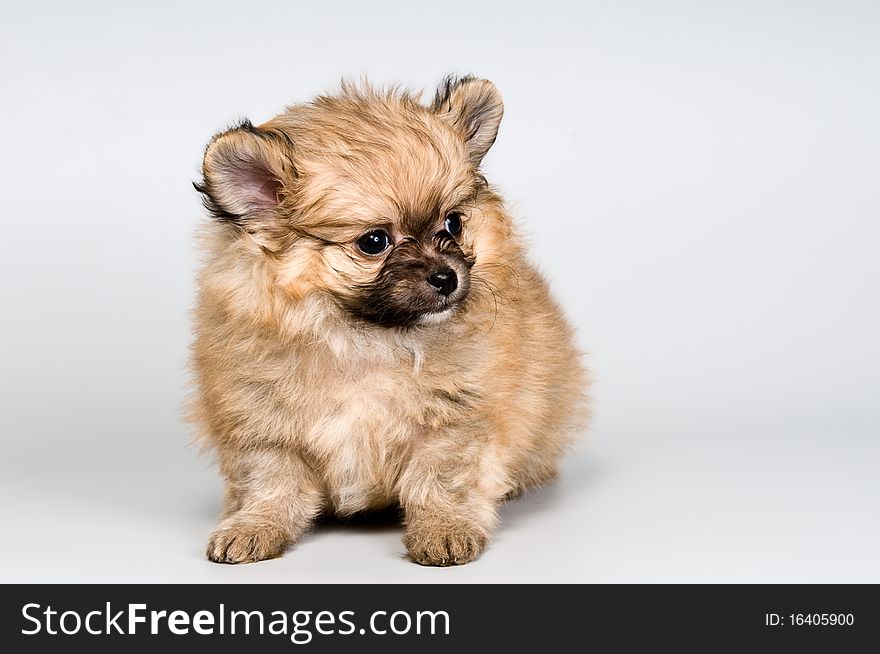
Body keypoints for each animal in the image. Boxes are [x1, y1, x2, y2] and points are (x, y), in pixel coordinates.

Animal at [192, 77, 592, 568]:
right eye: (374, 242)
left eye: (453, 224)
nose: (446, 276)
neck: (365, 340)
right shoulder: (262, 423)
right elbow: (269, 484)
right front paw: (253, 527)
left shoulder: (453, 420)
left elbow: (441, 480)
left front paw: (444, 530)